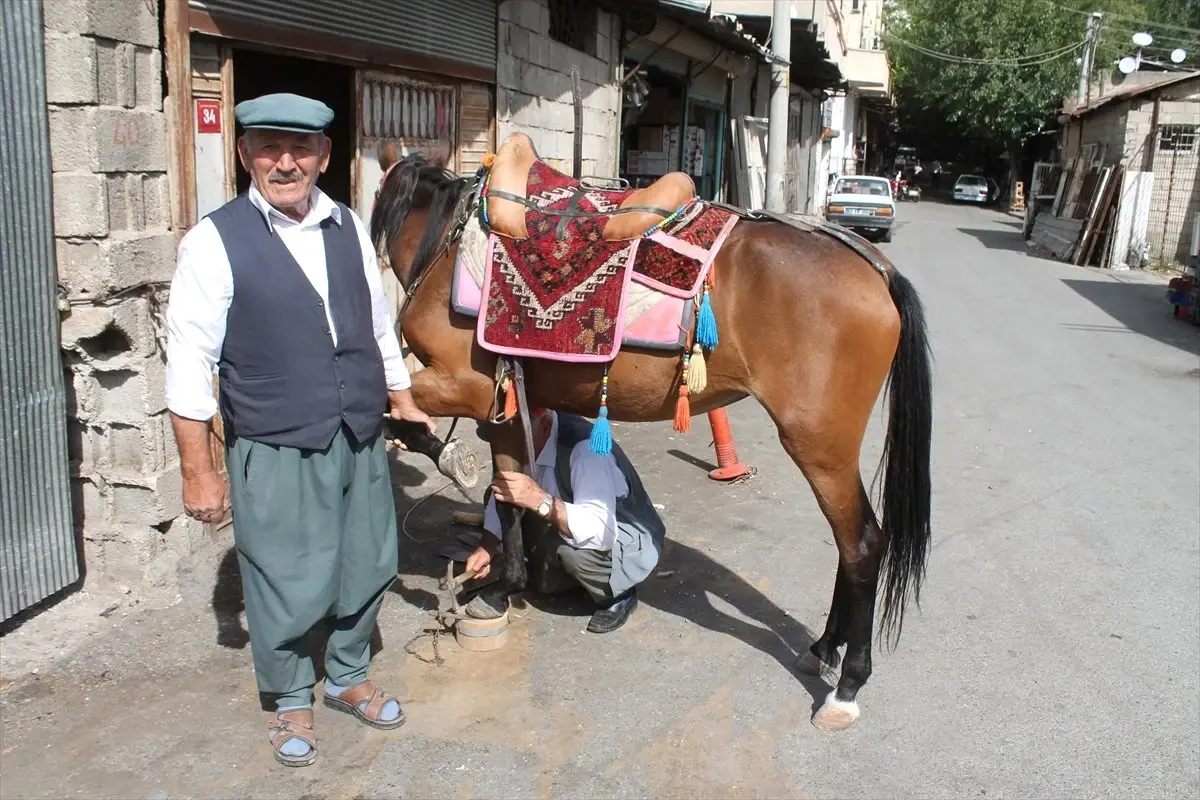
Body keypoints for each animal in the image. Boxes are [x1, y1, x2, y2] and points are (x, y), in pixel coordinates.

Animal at [369, 145, 931, 734]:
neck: (446, 241)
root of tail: (873, 266)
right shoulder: (504, 405)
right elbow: (508, 492)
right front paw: (502, 584)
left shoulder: (466, 387)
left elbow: (398, 416)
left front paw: (448, 457)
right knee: (851, 545)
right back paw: (824, 649)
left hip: (819, 446)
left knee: (862, 543)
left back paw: (847, 685)